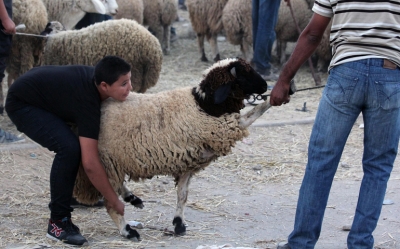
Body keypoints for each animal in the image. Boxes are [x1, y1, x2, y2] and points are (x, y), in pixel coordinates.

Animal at [72, 57, 268, 240]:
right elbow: (255, 112)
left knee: (113, 187)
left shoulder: (190, 162)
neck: (205, 105)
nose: (266, 86)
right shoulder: (224, 129)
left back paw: (132, 199)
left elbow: (182, 195)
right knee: (111, 201)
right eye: (244, 74)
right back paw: (127, 230)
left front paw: (179, 224)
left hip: (113, 163)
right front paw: (273, 99)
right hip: (108, 161)